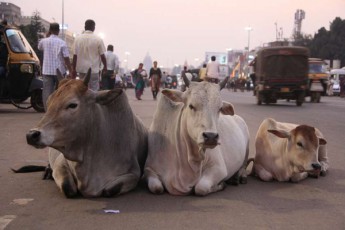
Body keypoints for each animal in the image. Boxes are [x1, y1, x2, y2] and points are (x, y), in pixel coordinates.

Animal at [25, 70, 146, 198]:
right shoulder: (61, 162)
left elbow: (109, 190)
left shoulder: (133, 173)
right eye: (48, 102)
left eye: (72, 105)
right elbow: (68, 188)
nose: (31, 135)